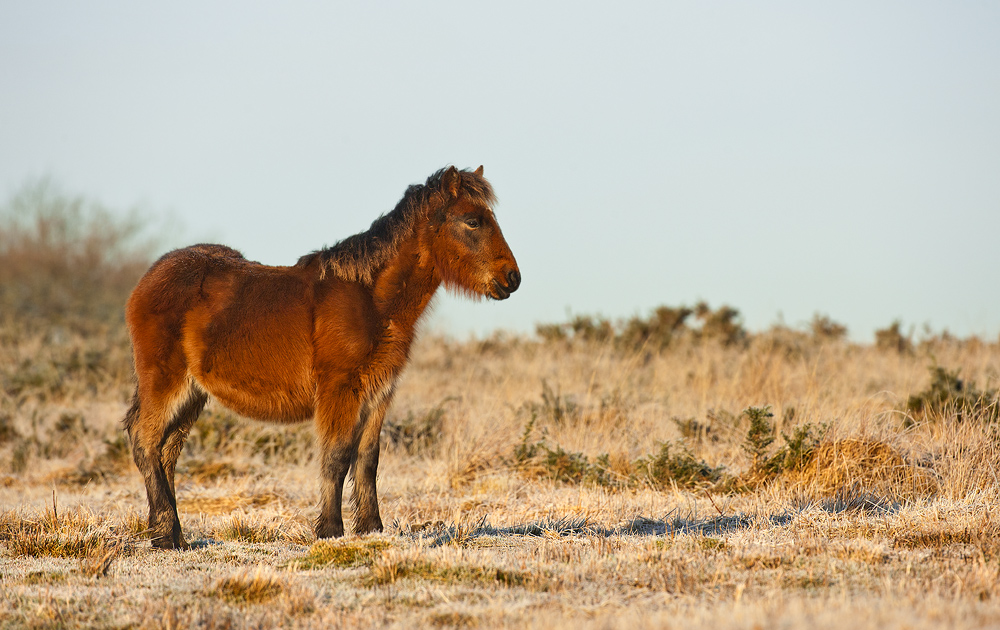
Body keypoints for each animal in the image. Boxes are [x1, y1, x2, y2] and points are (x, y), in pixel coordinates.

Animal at [122, 166, 520, 549]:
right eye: (472, 221)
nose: (512, 278)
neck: (371, 298)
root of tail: (147, 280)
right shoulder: (340, 390)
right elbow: (337, 458)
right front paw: (330, 530)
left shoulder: (379, 392)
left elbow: (367, 459)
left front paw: (371, 529)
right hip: (165, 382)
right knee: (145, 443)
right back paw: (165, 535)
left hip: (192, 394)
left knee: (166, 453)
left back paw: (172, 534)